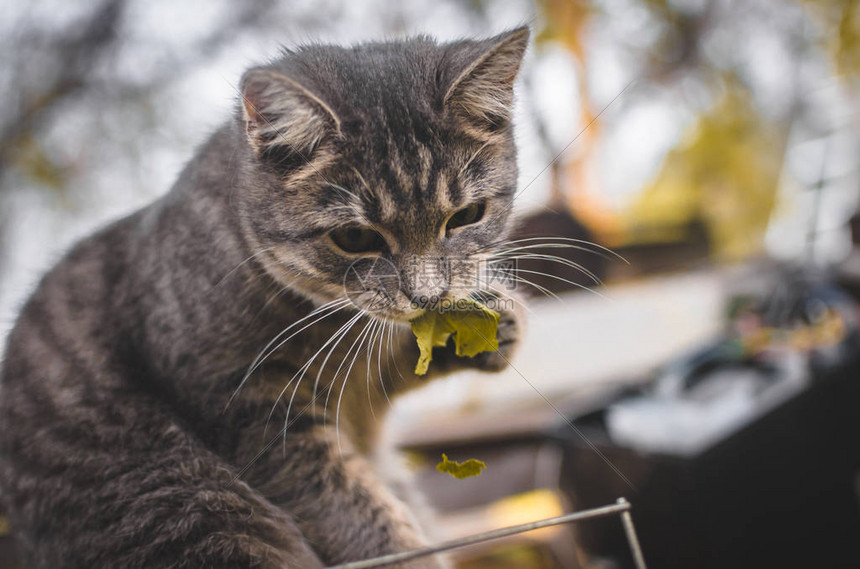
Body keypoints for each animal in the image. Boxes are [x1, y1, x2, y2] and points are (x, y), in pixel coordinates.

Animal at [0, 27, 528, 568]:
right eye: (355, 238)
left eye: (466, 216)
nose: (428, 294)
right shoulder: (252, 413)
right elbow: (360, 515)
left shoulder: (361, 389)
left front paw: (492, 324)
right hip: (200, 513)